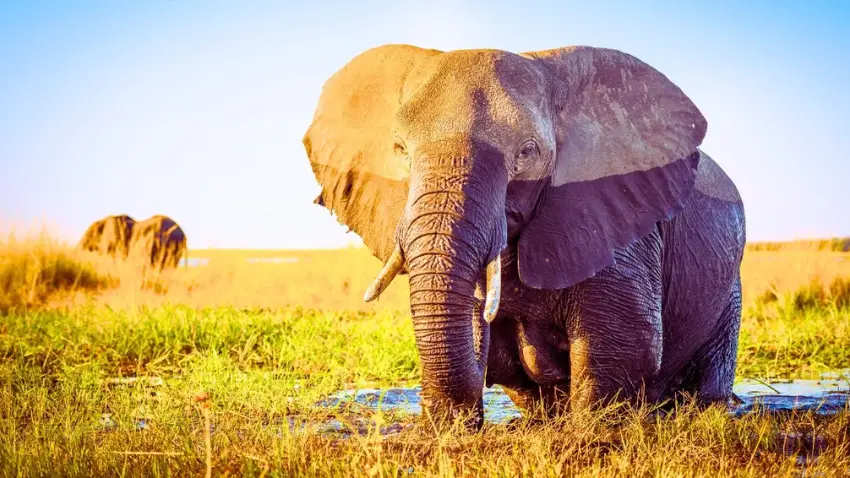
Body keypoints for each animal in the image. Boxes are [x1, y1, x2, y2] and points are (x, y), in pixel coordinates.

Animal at [303, 44, 746, 429]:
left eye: (527, 152)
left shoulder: (616, 212)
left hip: (729, 290)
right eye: (399, 149)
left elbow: (627, 341)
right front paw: (449, 430)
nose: (448, 422)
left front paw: (589, 432)